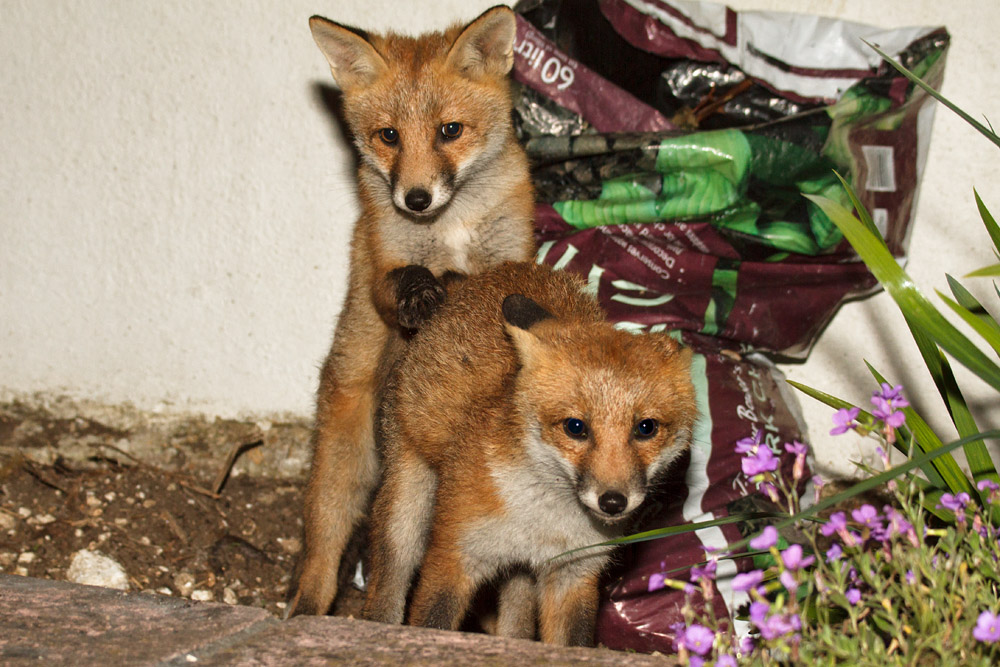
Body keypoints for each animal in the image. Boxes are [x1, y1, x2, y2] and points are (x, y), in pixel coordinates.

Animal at [287, 6, 536, 617]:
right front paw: (424, 293)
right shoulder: (385, 259)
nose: (416, 198)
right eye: (389, 137)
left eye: (450, 130)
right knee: (324, 555)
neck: (452, 228)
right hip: (345, 469)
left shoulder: (511, 258)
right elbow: (401, 280)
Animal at [362, 262, 698, 645]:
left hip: (518, 571)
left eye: (646, 428)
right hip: (407, 507)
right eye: (575, 427)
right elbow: (433, 623)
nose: (613, 502)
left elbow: (570, 642)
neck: (544, 524)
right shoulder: (454, 555)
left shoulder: (574, 572)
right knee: (389, 579)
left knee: (517, 620)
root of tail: (483, 276)